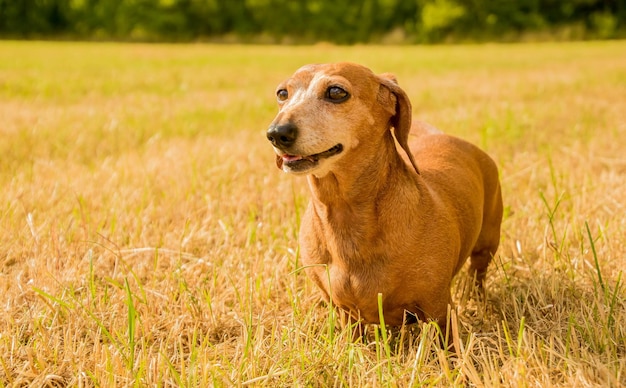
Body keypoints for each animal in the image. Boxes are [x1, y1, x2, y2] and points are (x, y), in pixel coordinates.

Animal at [264, 62, 502, 328]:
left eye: (336, 92)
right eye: (282, 93)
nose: (277, 133)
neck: (345, 216)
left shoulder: (438, 309)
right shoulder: (345, 313)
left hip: (487, 244)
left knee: (477, 273)